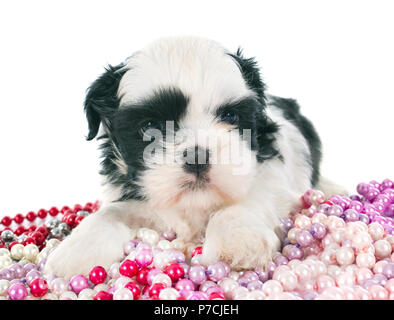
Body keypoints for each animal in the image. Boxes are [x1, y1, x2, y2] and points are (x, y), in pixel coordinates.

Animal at [43, 36, 344, 278]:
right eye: (150, 127)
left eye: (230, 117)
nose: (197, 157)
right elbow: (109, 213)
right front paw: (76, 252)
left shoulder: (271, 172)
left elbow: (251, 196)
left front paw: (238, 239)